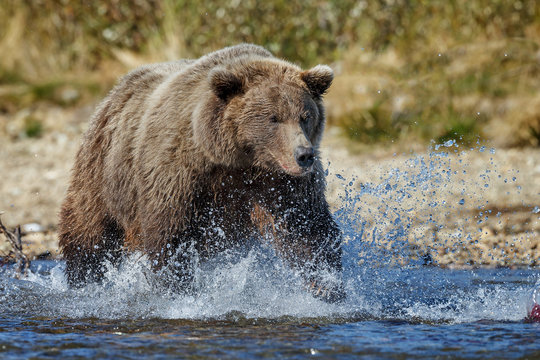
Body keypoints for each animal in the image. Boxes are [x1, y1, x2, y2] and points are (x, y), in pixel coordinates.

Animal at [59, 43, 344, 302]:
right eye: (273, 118)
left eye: (306, 116)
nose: (304, 154)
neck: (242, 162)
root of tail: (114, 93)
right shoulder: (180, 173)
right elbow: (170, 237)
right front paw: (179, 290)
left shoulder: (282, 186)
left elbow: (306, 231)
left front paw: (326, 286)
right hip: (105, 172)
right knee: (89, 233)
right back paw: (83, 281)